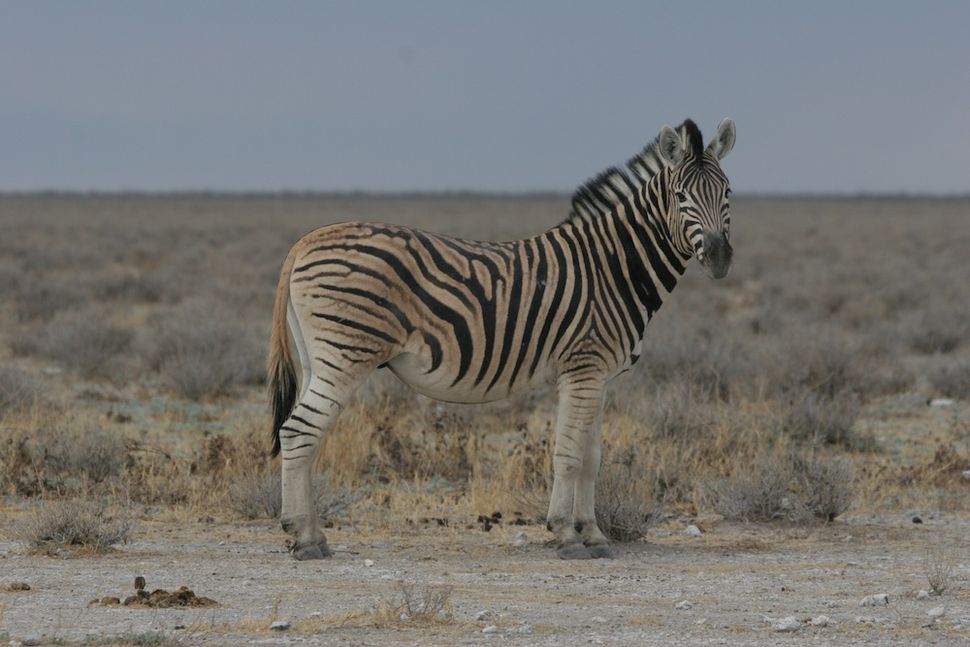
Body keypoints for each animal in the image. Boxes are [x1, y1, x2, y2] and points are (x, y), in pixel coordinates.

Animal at [264, 117, 732, 560]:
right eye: (681, 197)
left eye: (727, 193)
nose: (720, 257)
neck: (613, 267)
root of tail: (307, 240)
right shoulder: (583, 368)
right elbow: (568, 454)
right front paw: (565, 535)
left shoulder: (599, 377)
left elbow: (591, 458)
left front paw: (594, 535)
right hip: (345, 355)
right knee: (298, 432)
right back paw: (304, 538)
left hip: (317, 360)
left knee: (304, 436)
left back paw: (309, 534)